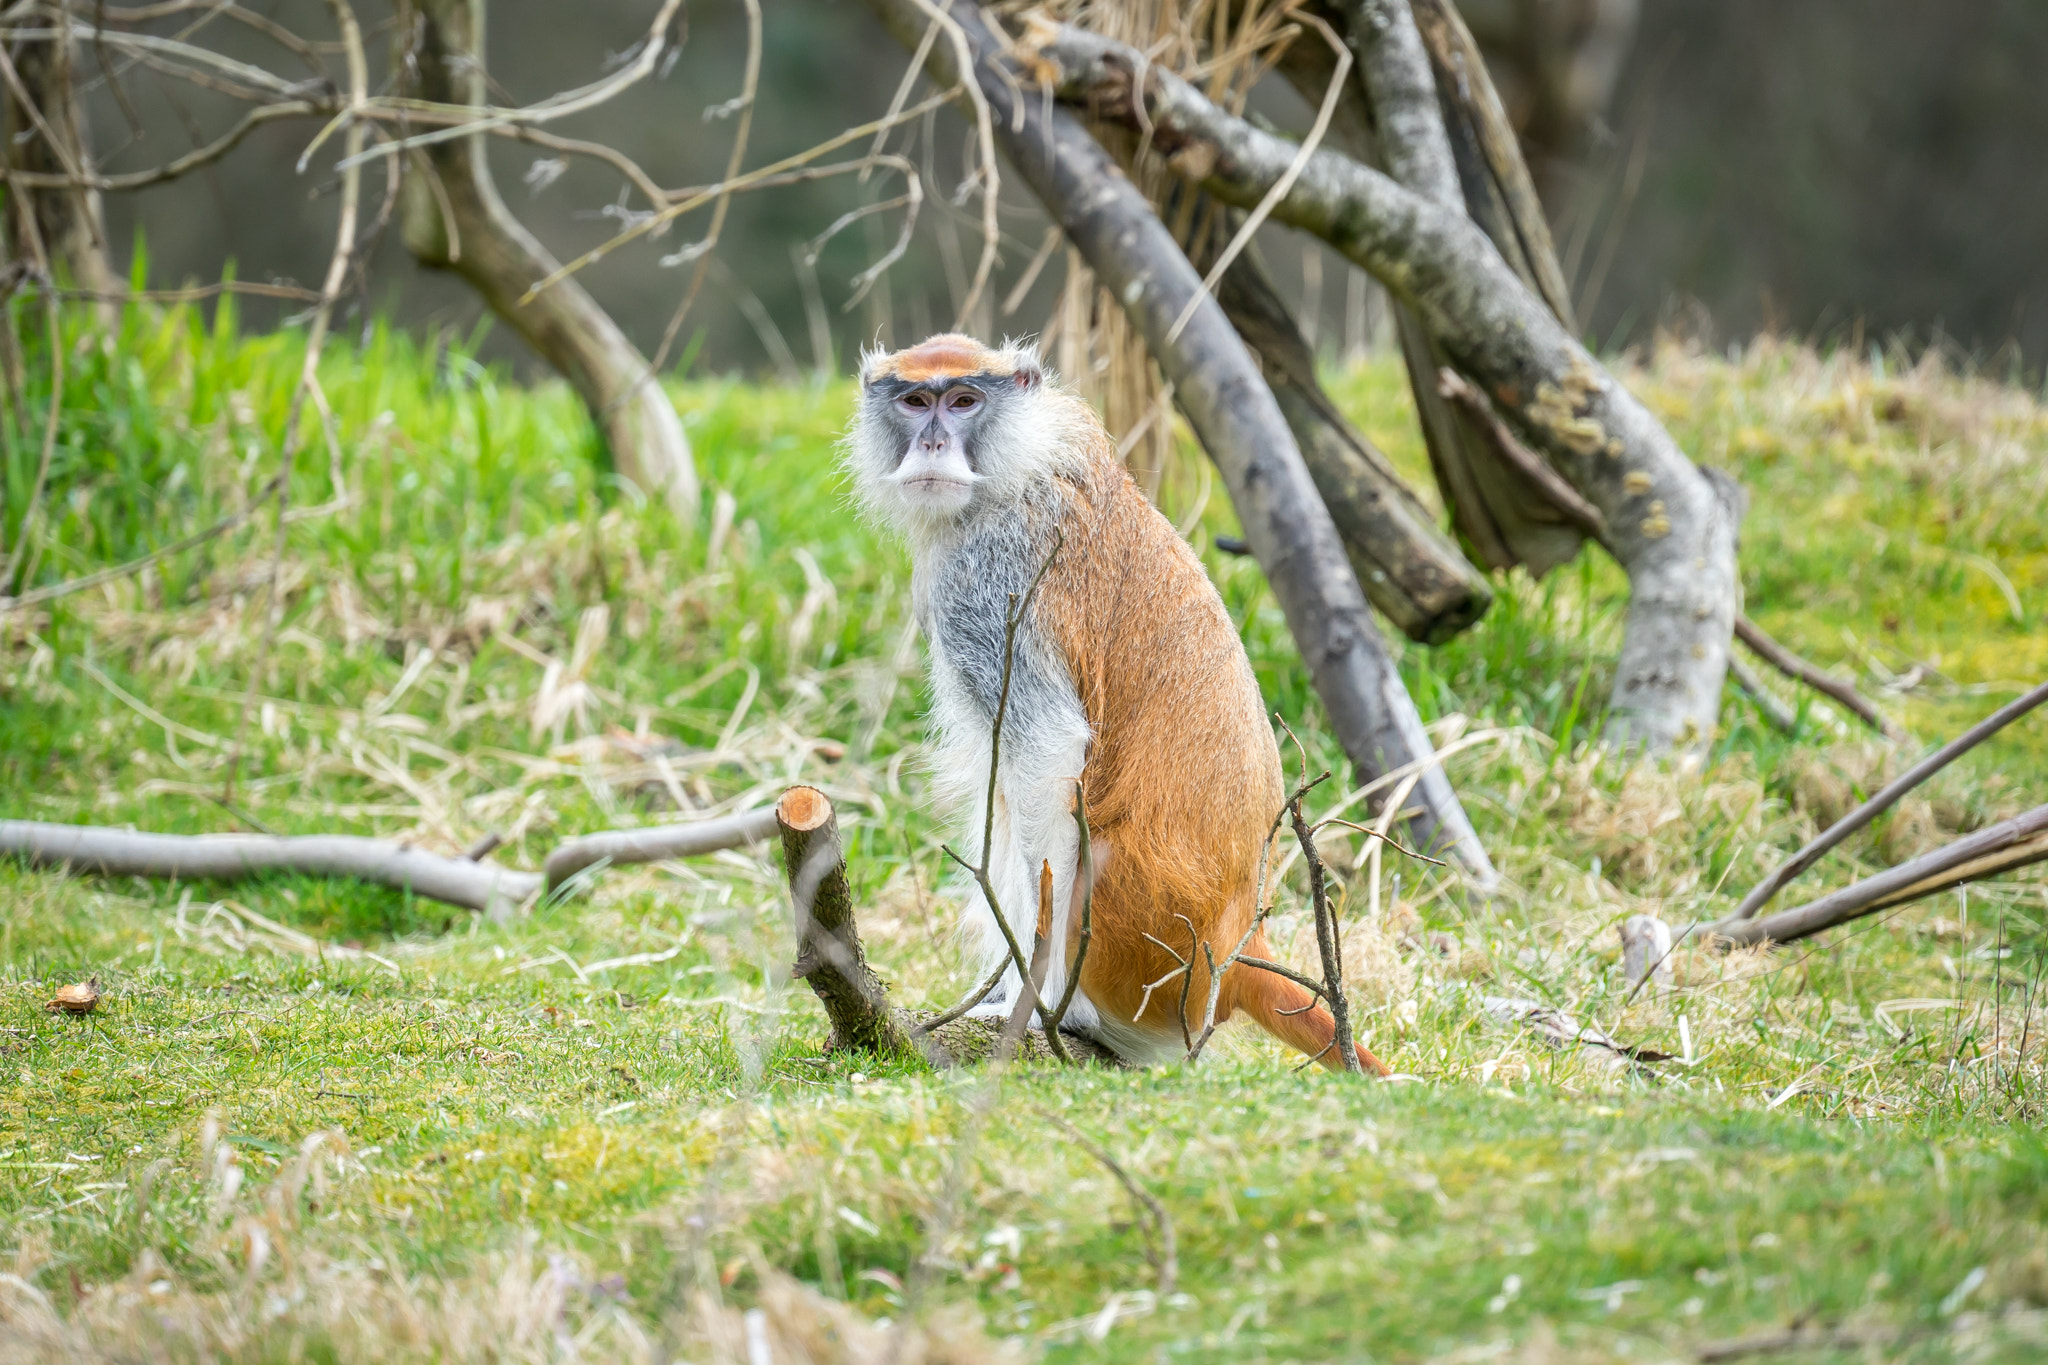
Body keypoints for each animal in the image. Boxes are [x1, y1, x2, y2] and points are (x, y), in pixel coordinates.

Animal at [839, 333, 1384, 1080]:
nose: (932, 442)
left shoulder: (988, 580)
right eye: (916, 401)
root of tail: (1240, 954)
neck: (1025, 461)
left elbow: (1047, 754)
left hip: (1134, 943)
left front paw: (1035, 1002)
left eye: (964, 401)